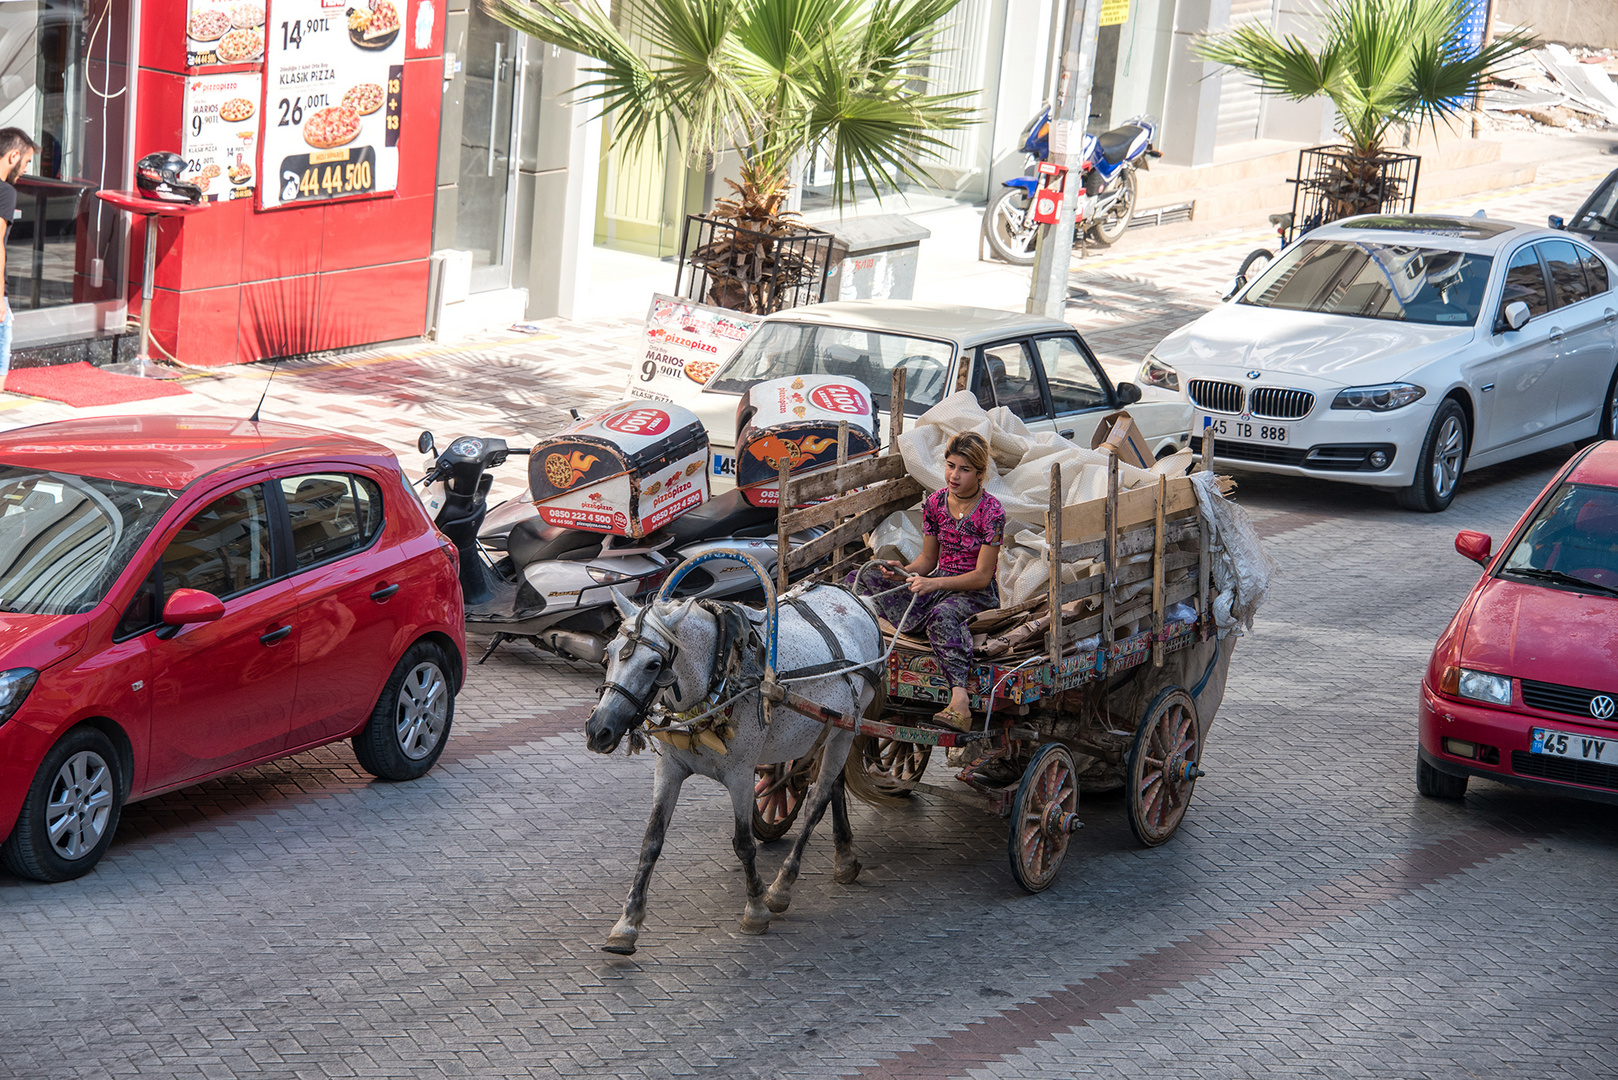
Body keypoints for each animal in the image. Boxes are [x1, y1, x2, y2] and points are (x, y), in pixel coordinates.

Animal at [585, 582, 886, 952]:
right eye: (608, 653)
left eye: (654, 664)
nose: (599, 730)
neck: (720, 678)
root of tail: (856, 598)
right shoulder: (669, 768)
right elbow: (651, 841)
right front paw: (626, 924)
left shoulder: (741, 775)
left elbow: (743, 843)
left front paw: (755, 908)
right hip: (830, 729)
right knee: (834, 787)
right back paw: (844, 857)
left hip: (845, 730)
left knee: (818, 799)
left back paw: (782, 887)